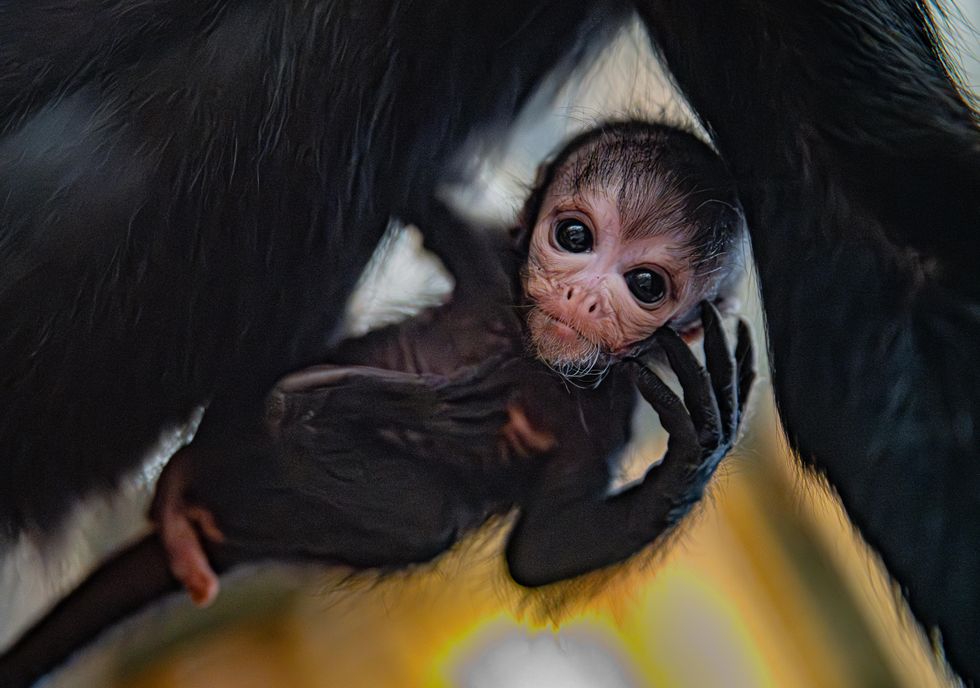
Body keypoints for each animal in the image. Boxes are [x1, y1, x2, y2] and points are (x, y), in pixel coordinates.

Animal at [0, 121, 755, 686]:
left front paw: (697, 447)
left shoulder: (608, 417)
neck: (531, 358)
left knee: (427, 519)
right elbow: (420, 202)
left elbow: (538, 553)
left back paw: (320, 414)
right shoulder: (490, 263)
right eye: (575, 237)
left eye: (646, 285)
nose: (583, 297)